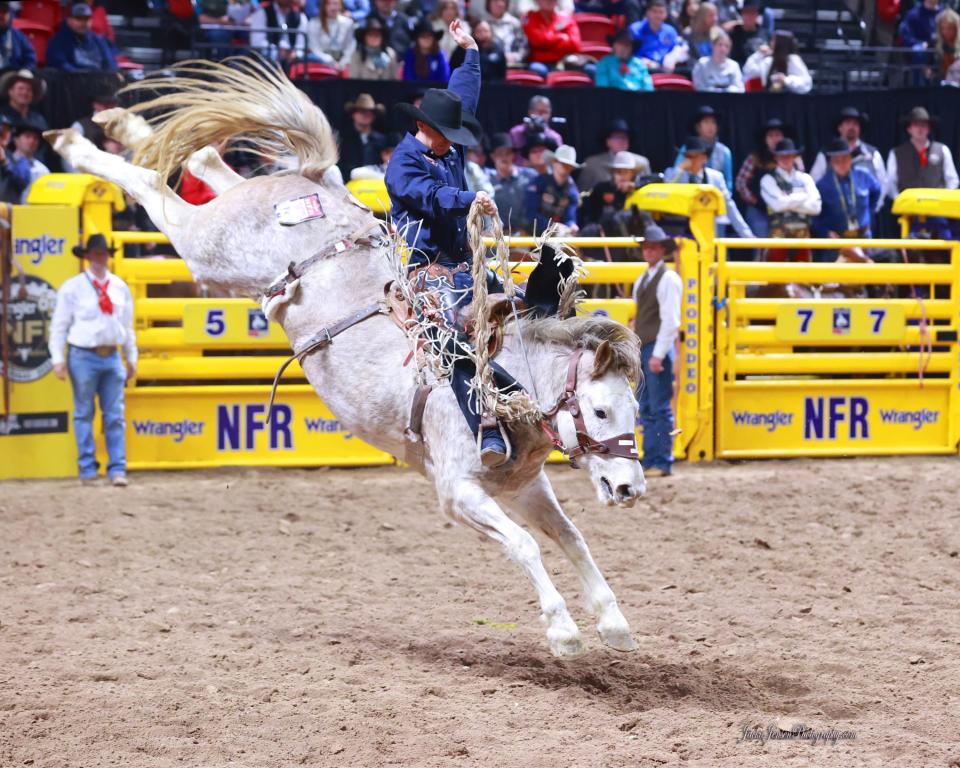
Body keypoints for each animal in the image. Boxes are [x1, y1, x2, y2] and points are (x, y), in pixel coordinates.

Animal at [43, 61, 644, 660]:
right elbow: (524, 546)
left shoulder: (523, 488)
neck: (499, 383)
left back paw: (125, 127)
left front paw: (613, 621)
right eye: (599, 412)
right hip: (208, 249)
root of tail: (305, 184)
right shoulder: (458, 492)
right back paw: (76, 143)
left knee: (206, 160)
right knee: (158, 191)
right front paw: (563, 630)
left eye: (633, 411)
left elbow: (569, 535)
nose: (630, 490)